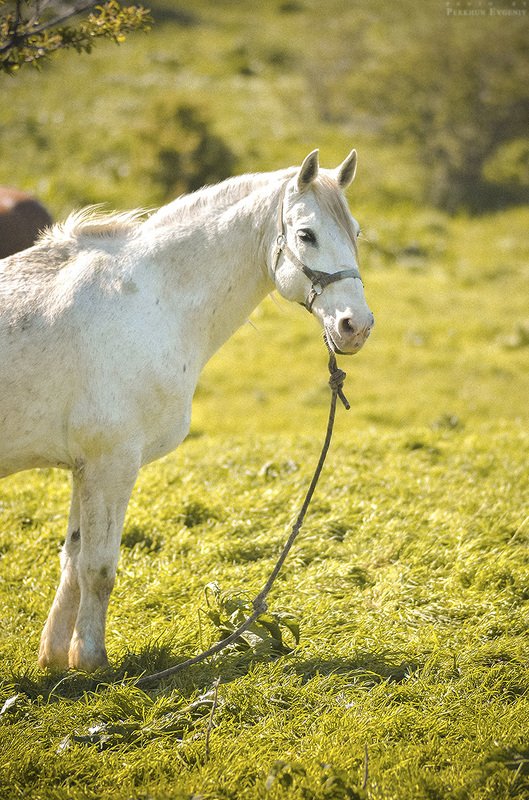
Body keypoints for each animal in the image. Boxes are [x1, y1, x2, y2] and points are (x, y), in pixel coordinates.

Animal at [0, 148, 372, 668]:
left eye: (355, 232)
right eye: (306, 235)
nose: (356, 326)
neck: (145, 302)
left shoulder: (85, 465)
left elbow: (73, 561)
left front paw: (56, 659)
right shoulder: (111, 463)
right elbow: (98, 567)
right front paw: (93, 662)